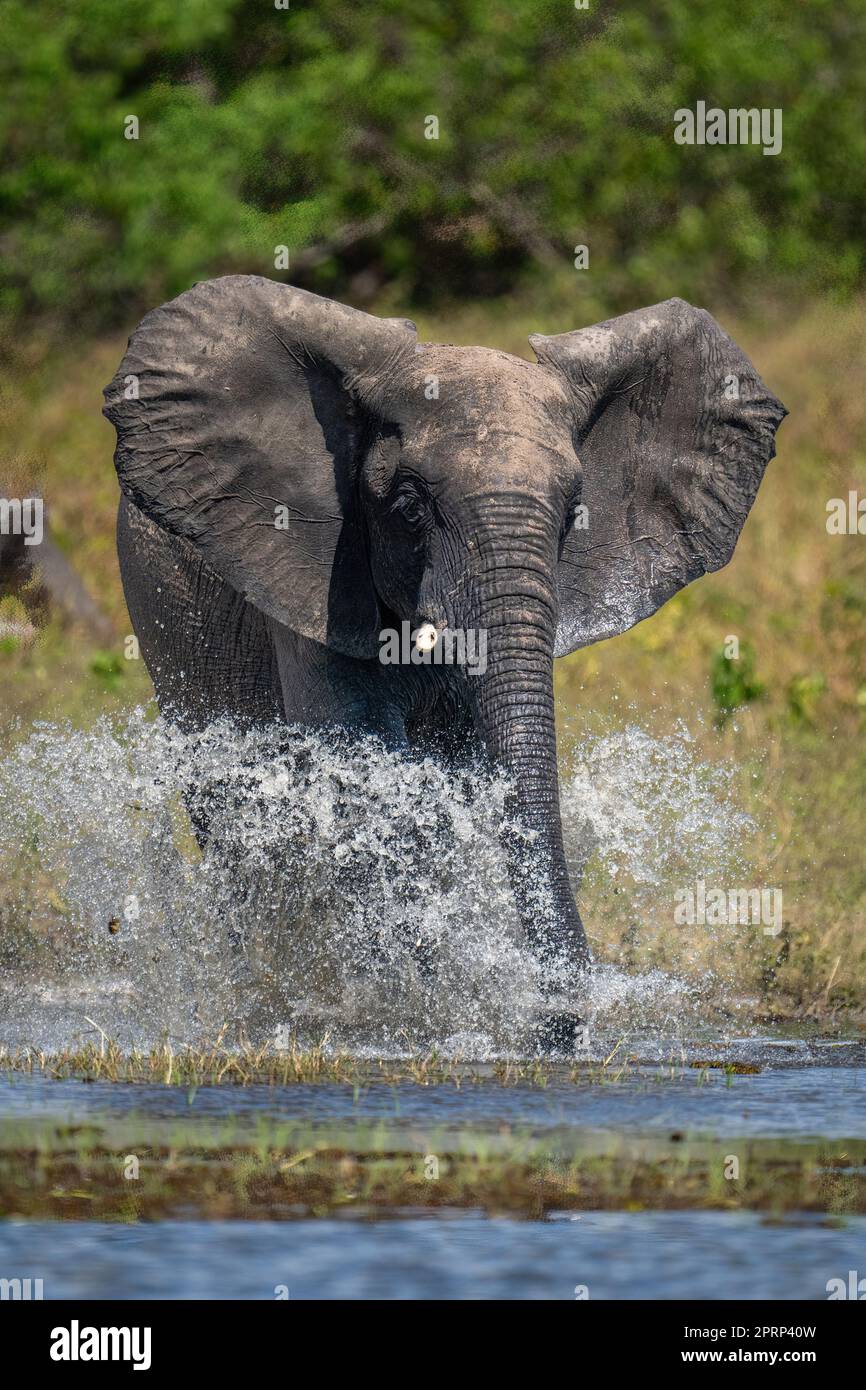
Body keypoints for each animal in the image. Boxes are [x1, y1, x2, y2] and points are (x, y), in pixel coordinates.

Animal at [103, 276, 785, 1048]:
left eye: (574, 510)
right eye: (408, 504)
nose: (562, 1023)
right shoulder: (314, 574)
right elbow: (365, 766)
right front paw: (416, 1009)